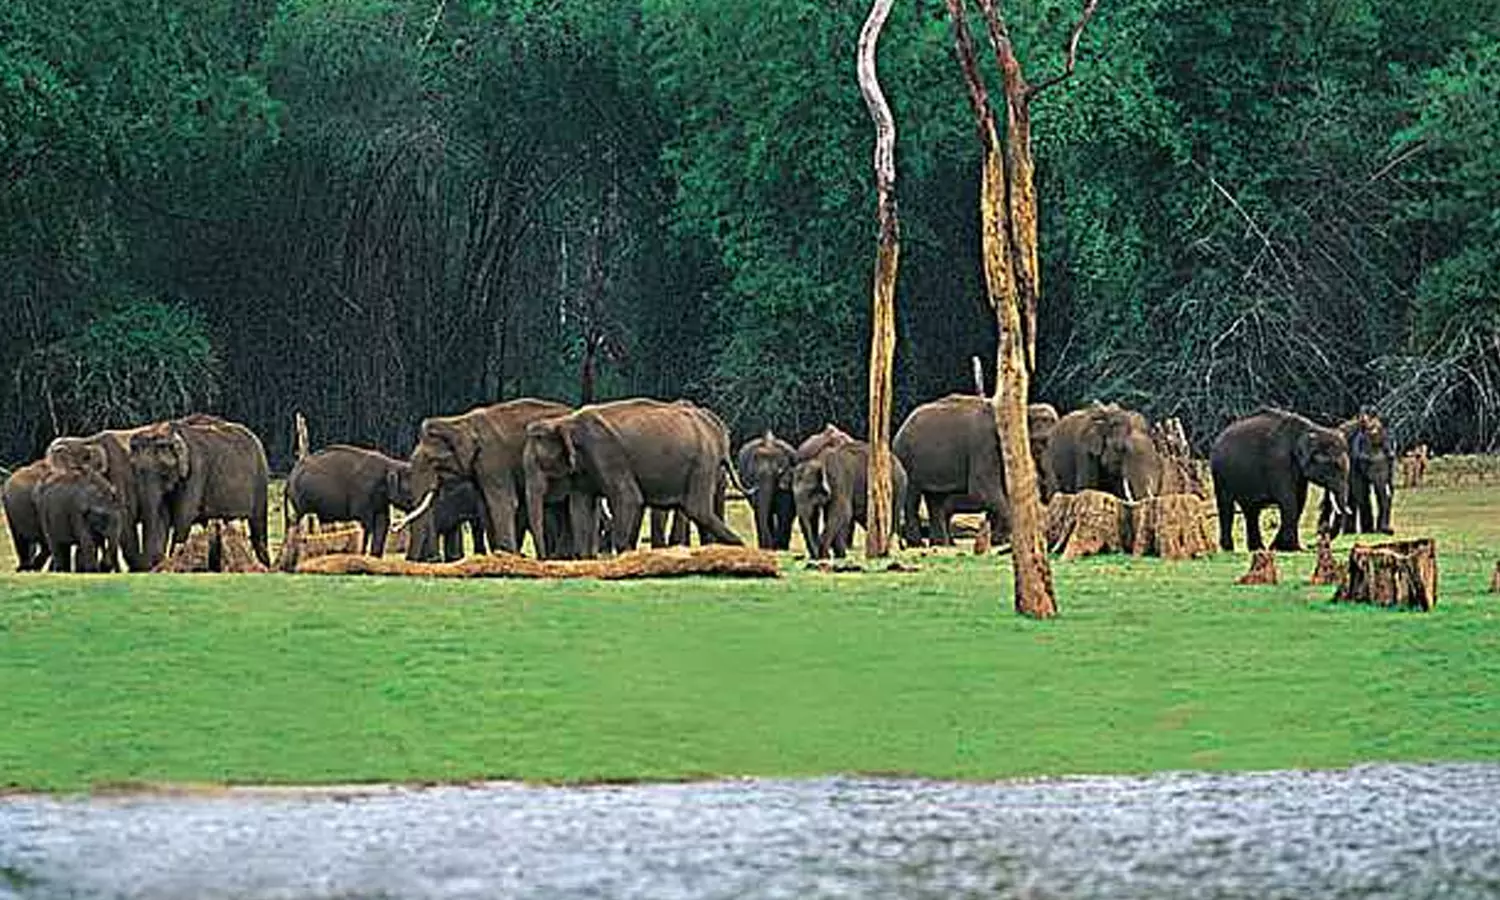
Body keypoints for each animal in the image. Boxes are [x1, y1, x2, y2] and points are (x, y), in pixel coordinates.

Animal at [128, 415, 271, 568]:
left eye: (163, 474)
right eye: (135, 471)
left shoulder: (195, 472)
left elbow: (183, 519)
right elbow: (161, 517)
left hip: (261, 480)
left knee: (258, 526)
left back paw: (265, 565)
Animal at [404, 398, 571, 559]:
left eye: (433, 461)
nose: (433, 559)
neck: (461, 422)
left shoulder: (493, 458)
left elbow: (503, 502)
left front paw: (507, 554)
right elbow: (485, 506)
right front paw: (499, 554)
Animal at [522, 398, 744, 559]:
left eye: (538, 462)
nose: (543, 558)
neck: (565, 422)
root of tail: (715, 426)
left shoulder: (606, 454)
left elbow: (629, 498)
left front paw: (624, 555)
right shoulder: (582, 469)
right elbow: (580, 505)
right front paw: (585, 559)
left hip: (702, 461)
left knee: (696, 509)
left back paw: (740, 547)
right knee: (696, 510)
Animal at [893, 395, 1058, 547]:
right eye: (1041, 441)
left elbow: (1002, 491)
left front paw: (998, 541)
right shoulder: (984, 444)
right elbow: (984, 490)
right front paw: (1004, 540)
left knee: (936, 500)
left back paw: (940, 544)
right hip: (907, 459)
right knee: (912, 498)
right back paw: (918, 544)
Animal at [1210, 407, 1351, 552]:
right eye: (1334, 466)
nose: (1311, 545)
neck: (1309, 430)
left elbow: (1300, 500)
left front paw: (1278, 547)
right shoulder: (1279, 464)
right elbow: (1290, 501)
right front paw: (1294, 549)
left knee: (1251, 510)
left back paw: (1257, 548)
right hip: (1219, 474)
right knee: (1226, 506)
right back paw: (1229, 548)